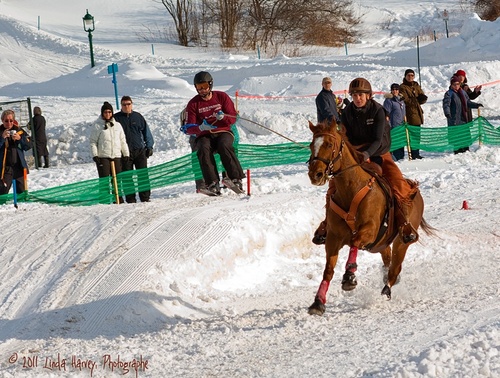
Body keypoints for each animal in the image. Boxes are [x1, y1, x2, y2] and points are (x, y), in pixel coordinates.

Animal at [306, 119, 432, 314]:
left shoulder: (369, 230)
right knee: (388, 260)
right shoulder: (333, 238)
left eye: (329, 144)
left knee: (395, 268)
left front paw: (349, 276)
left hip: (402, 241)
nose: (315, 174)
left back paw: (386, 288)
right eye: (311, 145)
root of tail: (414, 189)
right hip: (382, 244)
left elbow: (355, 242)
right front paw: (318, 302)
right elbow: (328, 270)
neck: (352, 189)